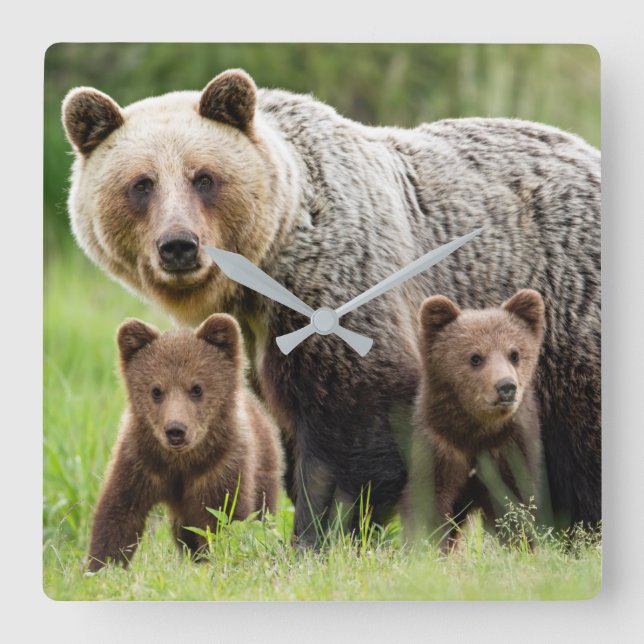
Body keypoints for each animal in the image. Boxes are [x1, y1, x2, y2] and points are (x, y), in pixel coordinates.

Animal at [86, 313, 283, 572]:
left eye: (197, 388)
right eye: (156, 390)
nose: (176, 430)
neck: (181, 462)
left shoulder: (221, 468)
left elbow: (226, 518)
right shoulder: (140, 461)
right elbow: (118, 514)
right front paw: (102, 566)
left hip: (264, 467)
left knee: (261, 514)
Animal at [402, 289, 545, 548]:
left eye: (514, 354)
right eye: (475, 357)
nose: (506, 387)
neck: (476, 435)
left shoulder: (510, 449)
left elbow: (516, 504)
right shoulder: (441, 447)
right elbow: (428, 502)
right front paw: (425, 545)